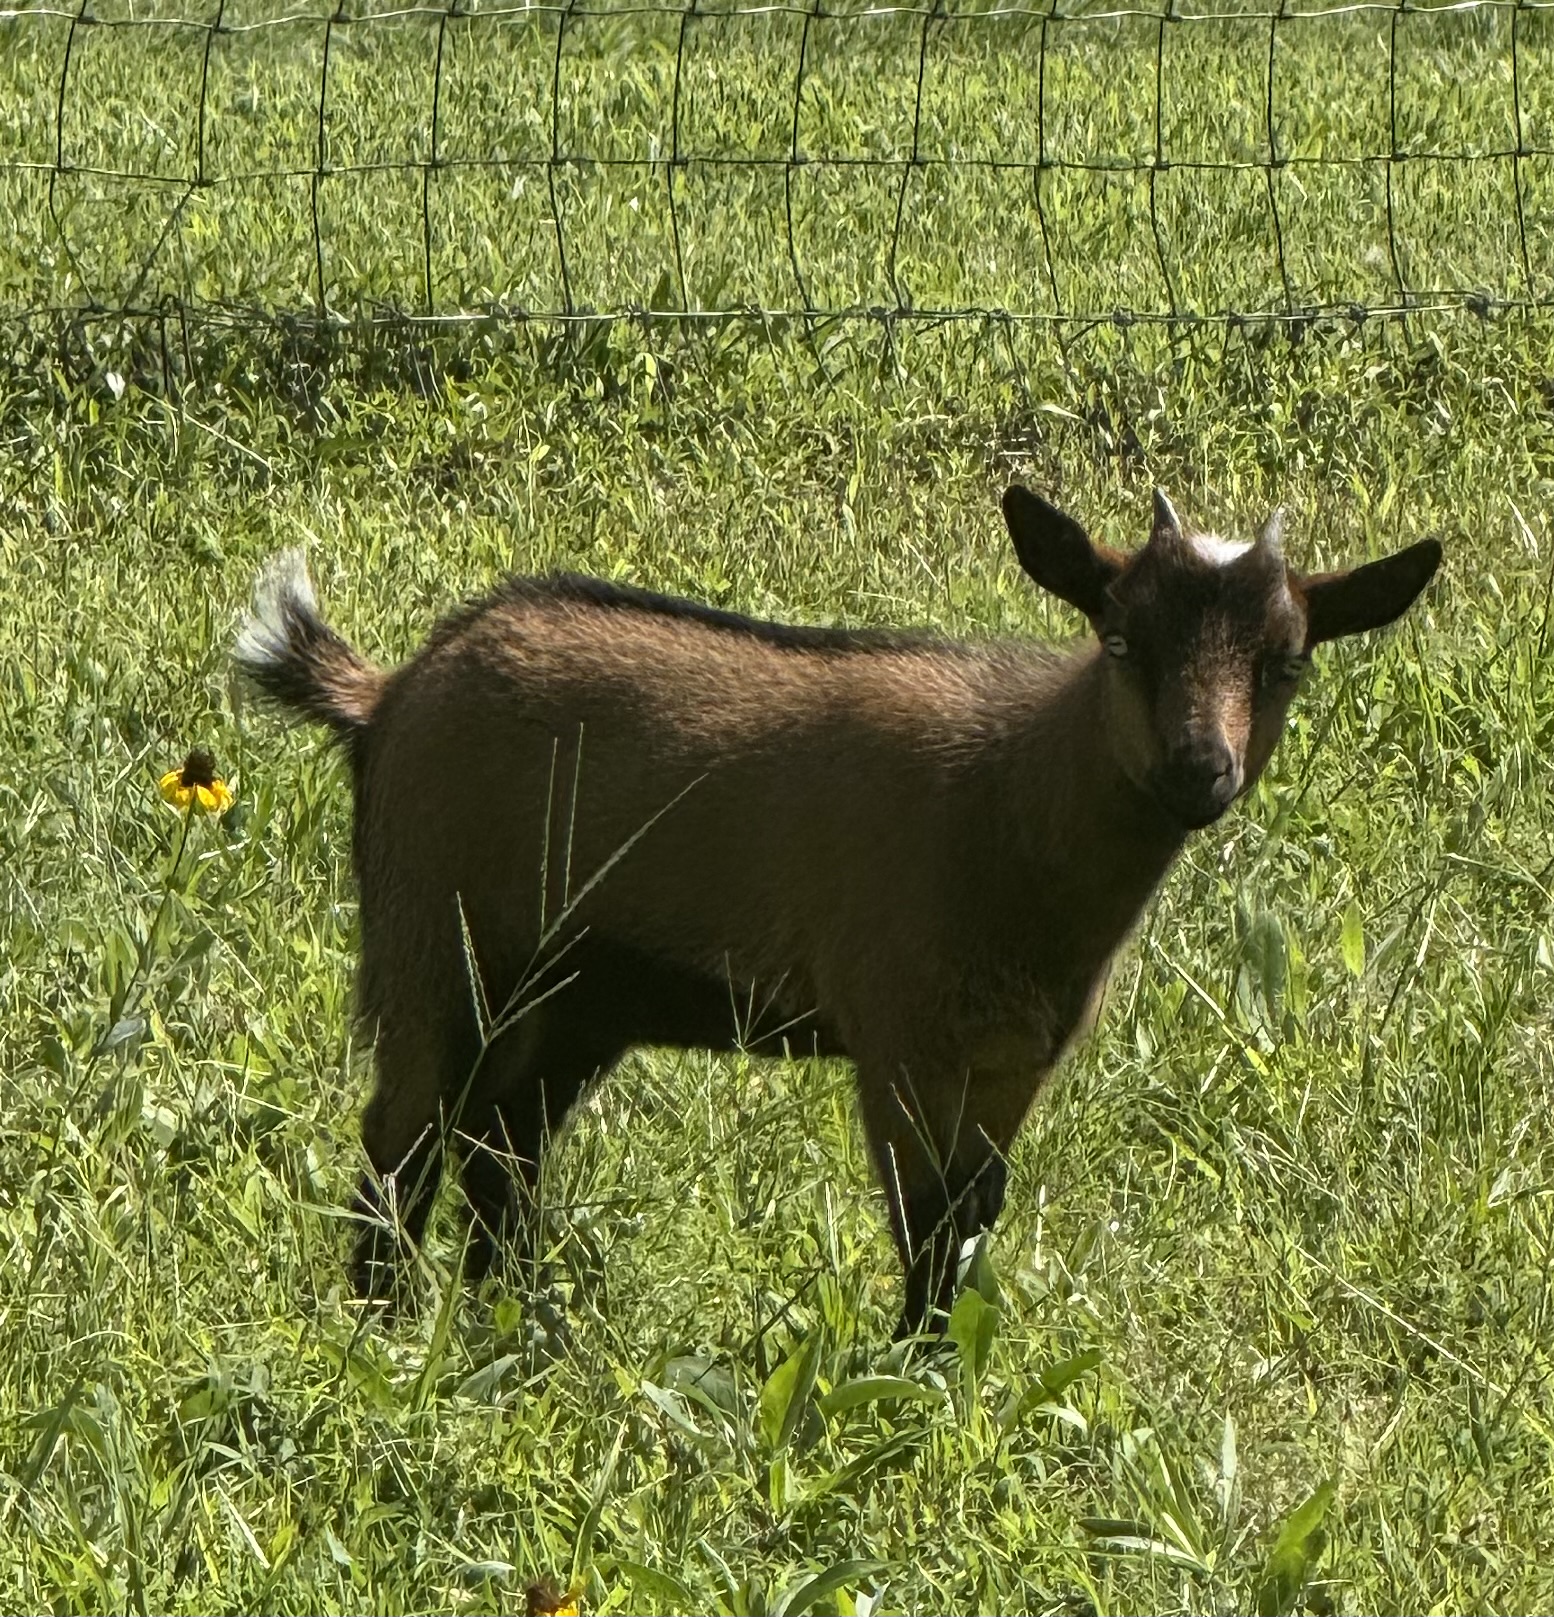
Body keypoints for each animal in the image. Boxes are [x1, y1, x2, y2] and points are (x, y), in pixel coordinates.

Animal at [234, 487, 1440, 1334]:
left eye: (1287, 662)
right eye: (1120, 637)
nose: (1201, 769)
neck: (1010, 802)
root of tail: (387, 698)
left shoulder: (1011, 1058)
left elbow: (974, 1213)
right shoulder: (901, 1035)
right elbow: (925, 1218)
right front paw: (911, 1382)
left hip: (569, 996)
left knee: (500, 1146)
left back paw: (516, 1328)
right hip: (434, 939)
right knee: (404, 1138)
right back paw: (387, 1333)